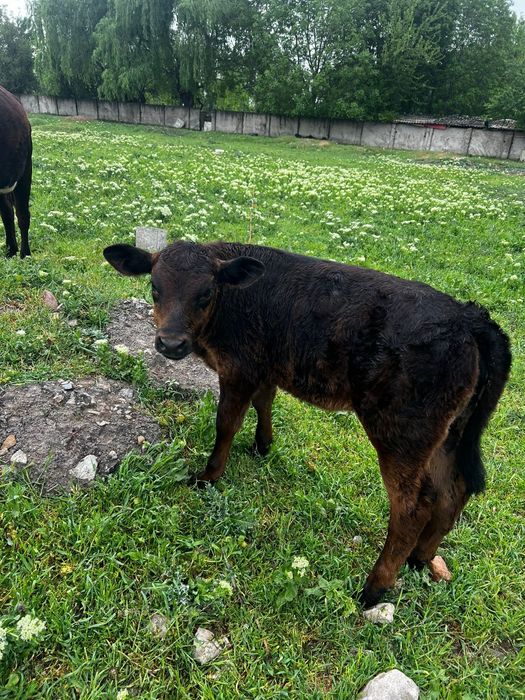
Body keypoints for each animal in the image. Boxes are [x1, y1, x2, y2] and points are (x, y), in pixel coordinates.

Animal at [104, 240, 511, 606]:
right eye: (155, 288)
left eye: (205, 293)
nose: (170, 344)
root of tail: (471, 319)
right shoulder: (264, 367)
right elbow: (265, 403)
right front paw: (262, 445)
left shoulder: (238, 368)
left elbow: (226, 424)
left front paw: (208, 477)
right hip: (449, 432)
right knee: (453, 490)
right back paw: (419, 559)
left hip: (403, 431)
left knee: (413, 507)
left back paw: (374, 588)